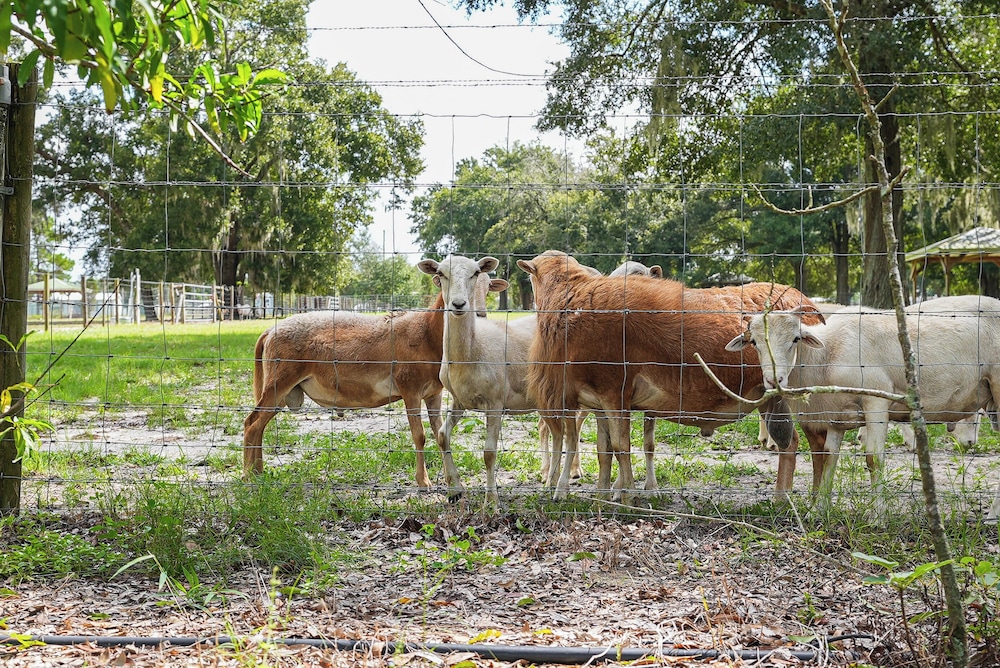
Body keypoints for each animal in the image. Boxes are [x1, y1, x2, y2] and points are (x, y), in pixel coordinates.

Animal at [242, 271, 504, 485]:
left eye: (487, 287)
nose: (478, 313)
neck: (427, 332)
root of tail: (269, 331)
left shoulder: (434, 393)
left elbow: (439, 432)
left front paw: (449, 481)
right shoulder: (410, 389)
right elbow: (419, 436)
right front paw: (424, 482)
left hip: (283, 389)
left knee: (259, 425)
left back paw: (258, 471)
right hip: (279, 381)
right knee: (251, 423)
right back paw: (248, 475)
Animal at [517, 250, 819, 501]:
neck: (571, 302)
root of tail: (807, 302)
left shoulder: (615, 393)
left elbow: (622, 446)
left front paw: (628, 496)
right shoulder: (596, 398)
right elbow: (605, 449)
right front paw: (603, 496)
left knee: (801, 442)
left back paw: (789, 500)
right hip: (769, 395)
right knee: (791, 442)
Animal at [725, 297, 1000, 511]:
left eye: (795, 339)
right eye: (754, 342)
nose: (775, 380)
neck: (826, 356)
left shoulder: (876, 399)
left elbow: (873, 460)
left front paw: (877, 516)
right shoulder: (835, 414)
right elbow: (829, 456)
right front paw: (818, 510)